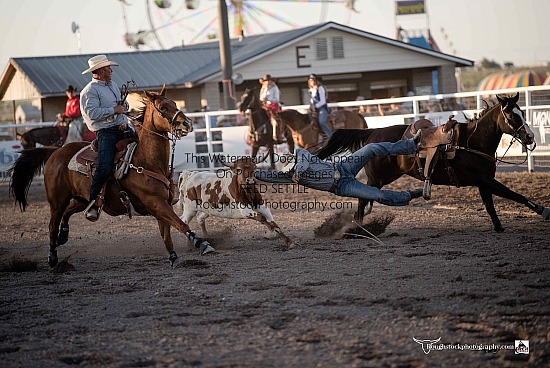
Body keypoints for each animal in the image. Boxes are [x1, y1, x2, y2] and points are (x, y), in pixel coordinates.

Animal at [11, 86, 213, 268]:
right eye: (162, 107)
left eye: (174, 103)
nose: (187, 123)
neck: (146, 160)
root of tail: (55, 151)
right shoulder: (155, 202)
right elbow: (180, 224)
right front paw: (202, 244)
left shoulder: (162, 204)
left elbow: (167, 234)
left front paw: (173, 257)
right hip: (57, 200)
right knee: (52, 226)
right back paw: (53, 258)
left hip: (83, 199)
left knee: (69, 212)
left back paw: (64, 234)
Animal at [316, 93, 548, 233]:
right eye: (510, 114)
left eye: (522, 112)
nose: (529, 137)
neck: (472, 142)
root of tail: (373, 132)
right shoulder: (485, 180)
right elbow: (515, 195)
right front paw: (542, 210)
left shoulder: (483, 182)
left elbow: (491, 206)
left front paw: (499, 227)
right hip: (377, 178)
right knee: (362, 199)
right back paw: (358, 228)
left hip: (384, 178)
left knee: (365, 199)